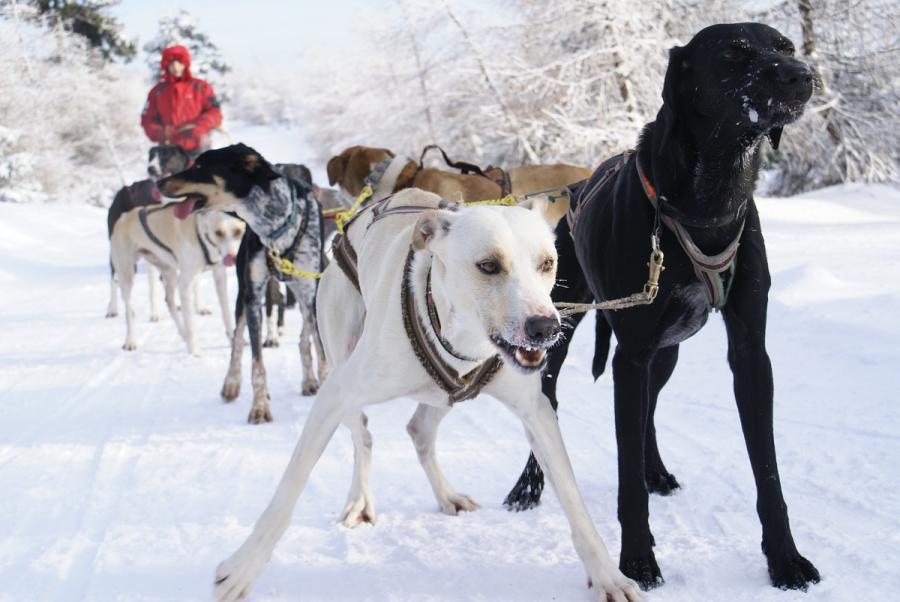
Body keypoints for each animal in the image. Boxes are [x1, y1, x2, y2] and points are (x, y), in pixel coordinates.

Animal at [105, 145, 191, 320]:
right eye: (151, 157)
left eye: (166, 156)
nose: (150, 168)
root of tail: (125, 189)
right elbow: (153, 288)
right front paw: (155, 314)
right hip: (118, 250)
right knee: (114, 279)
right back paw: (113, 308)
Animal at [109, 201, 245, 354]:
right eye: (218, 232)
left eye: (238, 232)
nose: (232, 258)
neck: (202, 234)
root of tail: (124, 217)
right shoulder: (185, 282)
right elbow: (190, 322)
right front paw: (194, 353)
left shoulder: (219, 275)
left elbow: (226, 313)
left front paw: (233, 340)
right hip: (126, 274)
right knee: (129, 309)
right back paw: (130, 340)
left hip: (170, 273)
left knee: (169, 301)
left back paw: (183, 333)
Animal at [158, 144, 327, 423]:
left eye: (200, 166)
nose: (158, 182)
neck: (276, 225)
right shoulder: (252, 296)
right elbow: (256, 362)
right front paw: (259, 407)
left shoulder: (311, 294)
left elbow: (319, 348)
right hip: (242, 295)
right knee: (237, 340)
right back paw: (231, 383)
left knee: (305, 338)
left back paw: (309, 380)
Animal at [210, 185, 641, 602]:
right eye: (489, 265)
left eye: (547, 263)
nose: (545, 327)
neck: (461, 336)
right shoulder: (335, 395)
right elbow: (287, 492)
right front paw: (243, 567)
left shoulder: (536, 412)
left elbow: (573, 500)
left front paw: (608, 575)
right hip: (340, 360)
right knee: (363, 435)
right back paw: (359, 500)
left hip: (448, 393)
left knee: (418, 429)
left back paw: (446, 495)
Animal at [503, 23, 820, 591]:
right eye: (734, 52)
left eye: (784, 46)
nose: (803, 75)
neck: (709, 199)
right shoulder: (629, 357)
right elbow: (625, 478)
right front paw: (637, 561)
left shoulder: (750, 354)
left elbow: (768, 472)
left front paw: (784, 559)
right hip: (561, 331)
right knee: (549, 405)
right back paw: (529, 486)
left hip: (666, 351)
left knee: (649, 408)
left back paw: (656, 471)